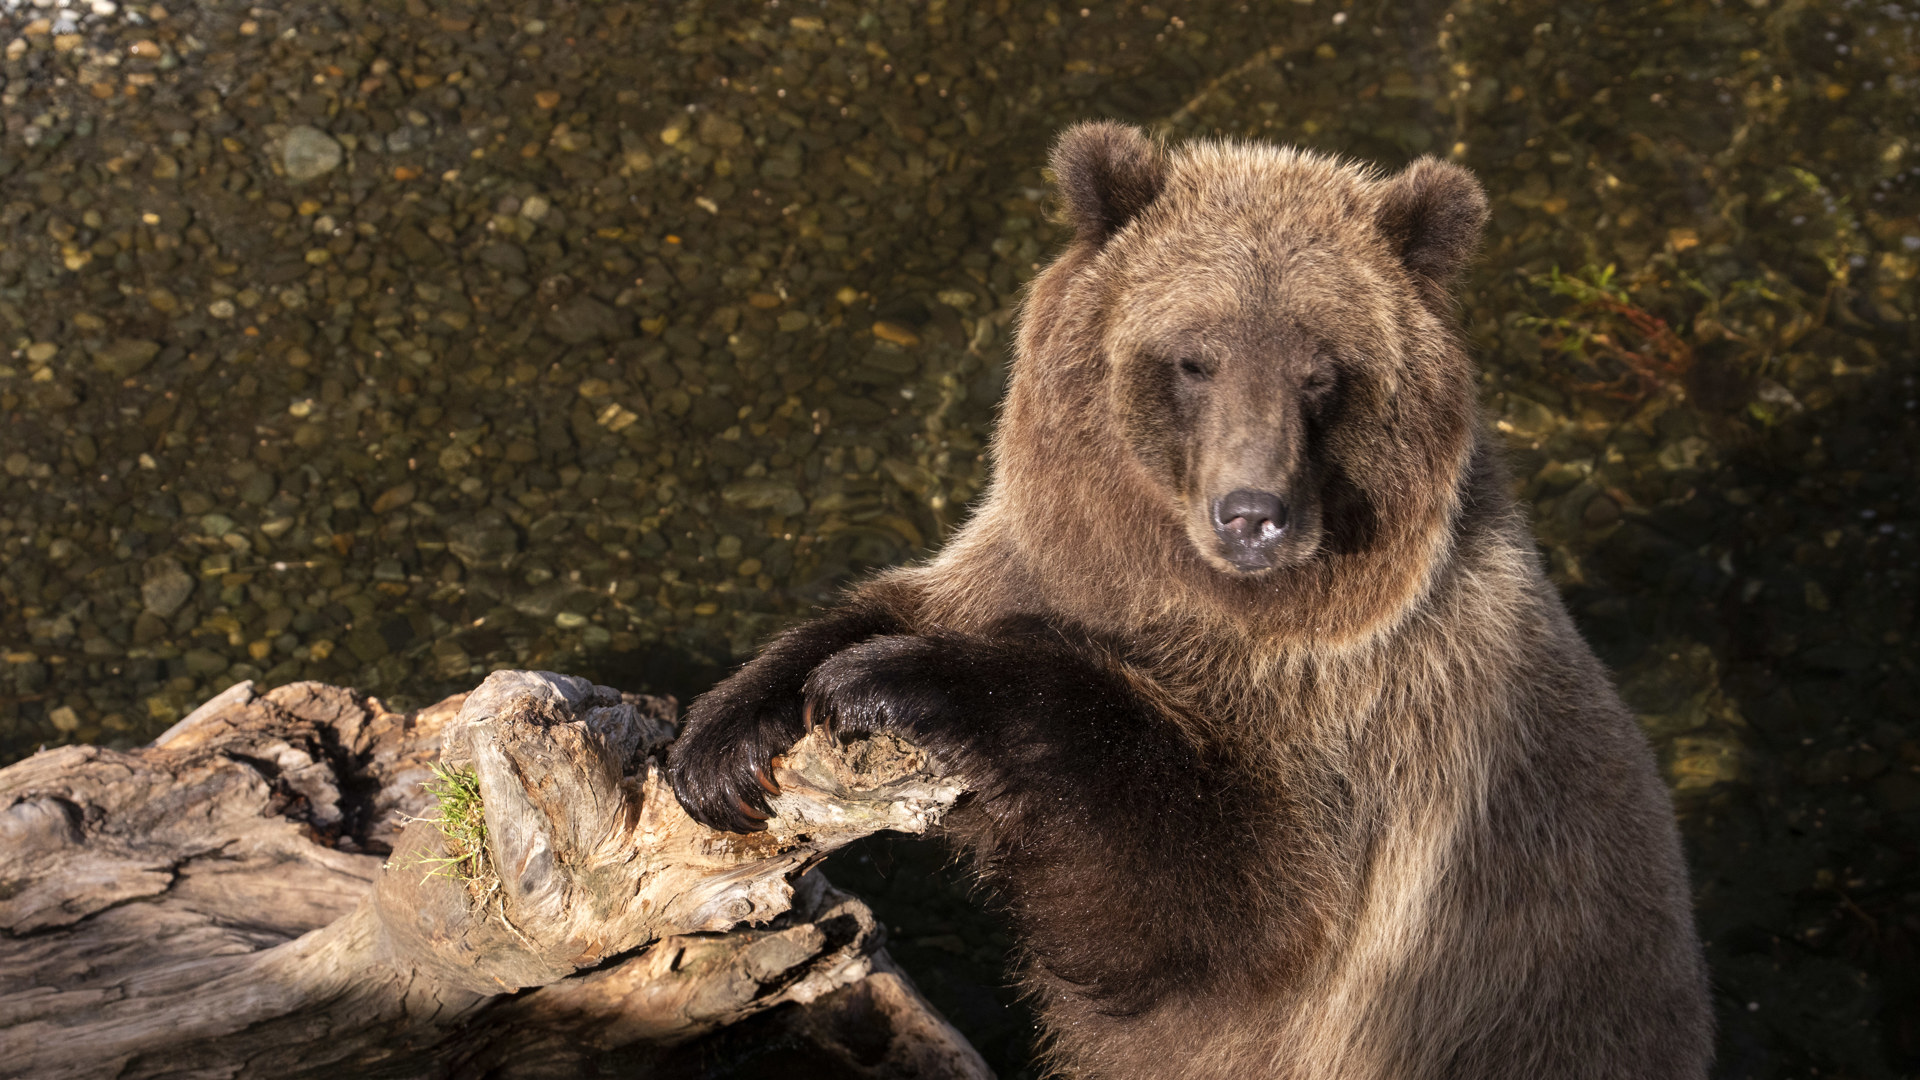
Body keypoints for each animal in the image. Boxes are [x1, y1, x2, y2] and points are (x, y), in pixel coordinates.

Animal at [669, 122, 1713, 1079]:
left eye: (1320, 372)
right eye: (1194, 358)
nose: (1253, 513)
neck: (1201, 602)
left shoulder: (1372, 758)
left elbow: (1214, 898)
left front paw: (891, 681)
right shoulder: (1051, 562)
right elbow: (899, 606)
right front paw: (726, 740)